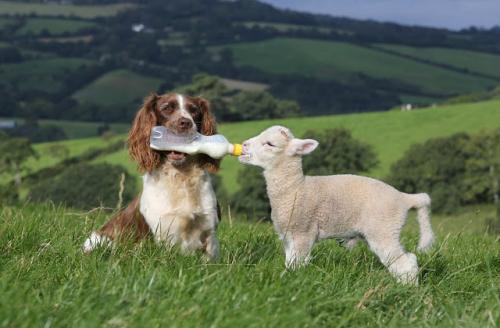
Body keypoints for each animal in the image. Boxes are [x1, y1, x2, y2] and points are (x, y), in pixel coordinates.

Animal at [238, 125, 434, 284]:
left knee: (405, 263)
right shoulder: (288, 235)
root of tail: (405, 198)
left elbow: (296, 264)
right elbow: (289, 261)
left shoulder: (303, 231)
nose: (244, 145)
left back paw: (408, 291)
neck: (295, 188)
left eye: (270, 144)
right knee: (407, 261)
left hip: (383, 229)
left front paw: (292, 280)